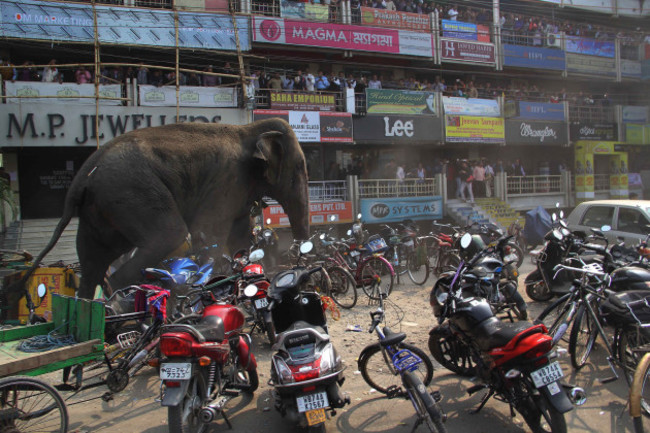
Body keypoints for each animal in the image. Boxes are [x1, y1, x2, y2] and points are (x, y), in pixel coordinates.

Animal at [19, 118, 310, 299]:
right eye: (299, 167)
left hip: (100, 206)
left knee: (93, 261)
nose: (298, 252)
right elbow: (210, 232)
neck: (248, 128)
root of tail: (83, 174)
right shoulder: (227, 180)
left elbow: (240, 236)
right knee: (168, 235)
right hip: (131, 190)